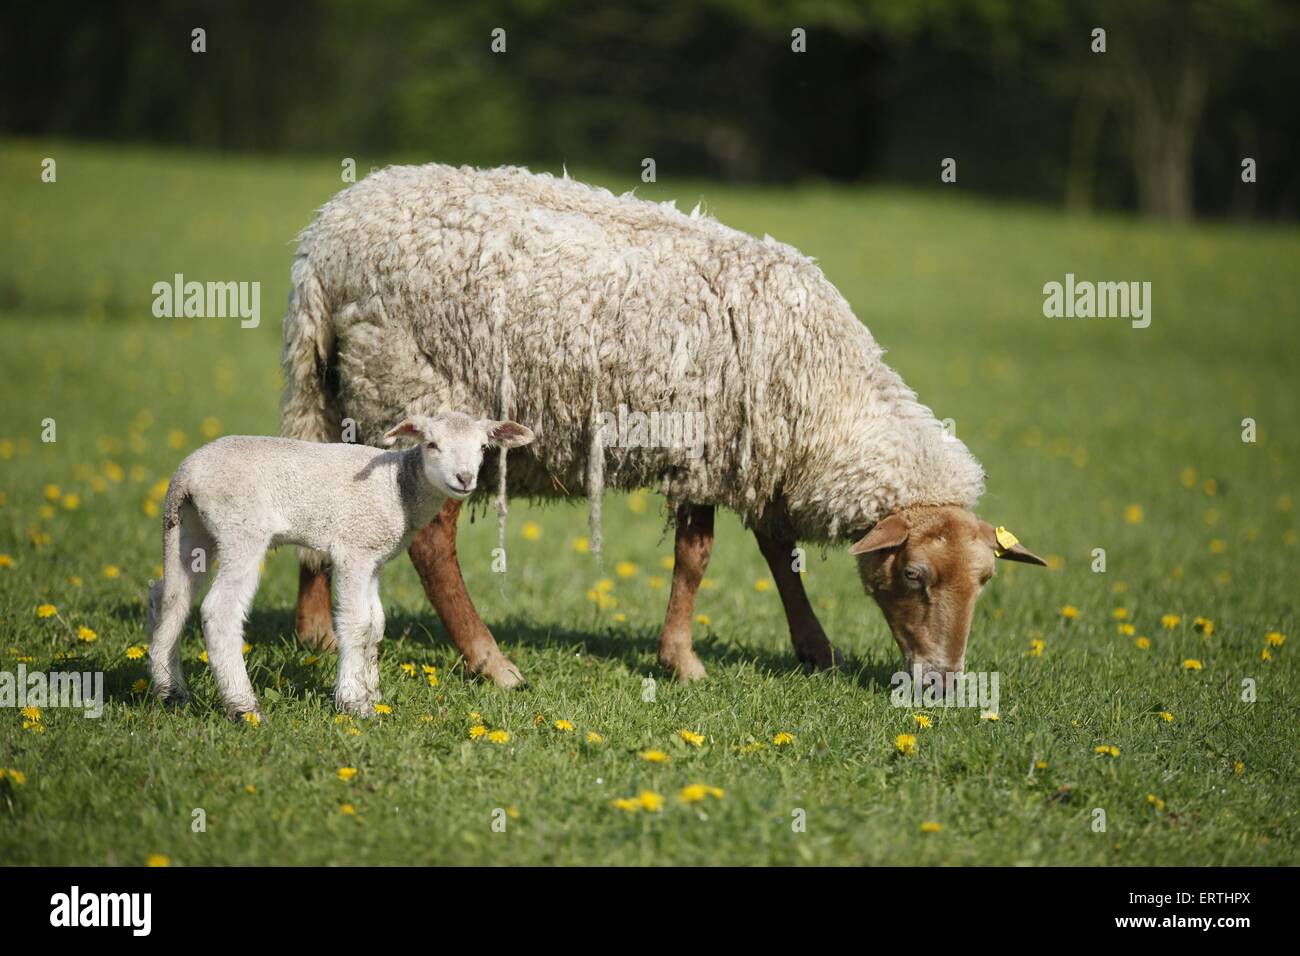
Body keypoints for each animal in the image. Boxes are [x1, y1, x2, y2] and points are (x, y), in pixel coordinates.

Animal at [149, 411, 535, 717]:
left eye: (483, 448)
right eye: (431, 444)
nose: (464, 479)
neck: (399, 486)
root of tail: (187, 475)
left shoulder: (374, 559)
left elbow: (376, 624)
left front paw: (373, 694)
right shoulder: (354, 549)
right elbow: (357, 623)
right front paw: (352, 702)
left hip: (187, 528)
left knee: (168, 598)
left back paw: (170, 691)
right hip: (241, 529)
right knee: (219, 611)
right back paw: (243, 707)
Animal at [282, 162, 1045, 686]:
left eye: (984, 582)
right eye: (915, 576)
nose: (943, 685)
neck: (828, 400)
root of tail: (325, 241)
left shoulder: (753, 455)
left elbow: (779, 550)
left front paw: (814, 648)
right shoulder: (708, 446)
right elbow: (698, 557)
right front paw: (682, 661)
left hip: (336, 393)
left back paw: (316, 634)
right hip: (421, 390)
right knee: (433, 544)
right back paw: (490, 662)